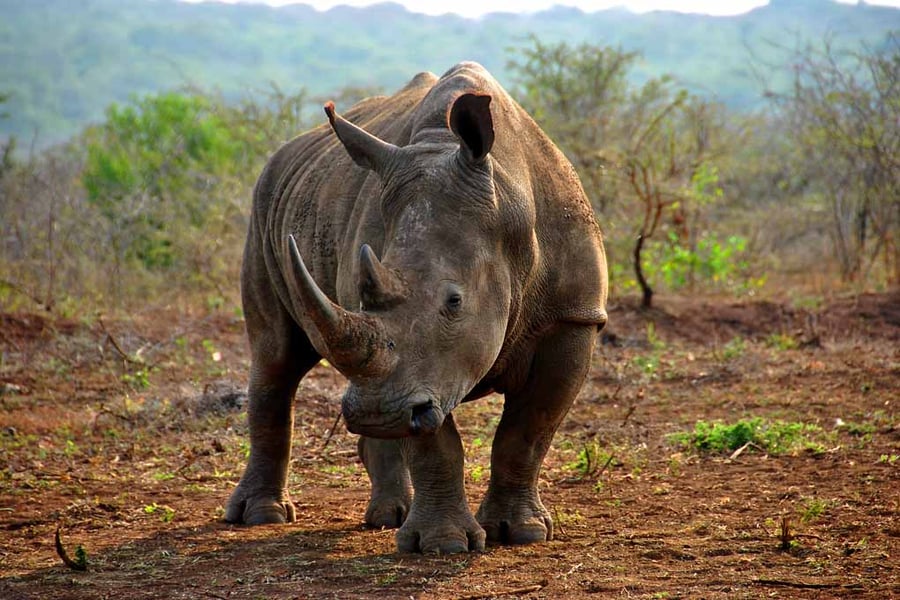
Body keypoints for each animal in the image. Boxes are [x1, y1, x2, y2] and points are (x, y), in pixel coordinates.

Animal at [225, 62, 608, 554]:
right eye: (363, 295)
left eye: (455, 301)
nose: (378, 413)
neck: (508, 200)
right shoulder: (419, 374)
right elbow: (435, 444)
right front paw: (442, 545)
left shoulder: (573, 316)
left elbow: (527, 433)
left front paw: (520, 532)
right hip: (264, 205)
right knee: (276, 357)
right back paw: (262, 517)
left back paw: (387, 514)